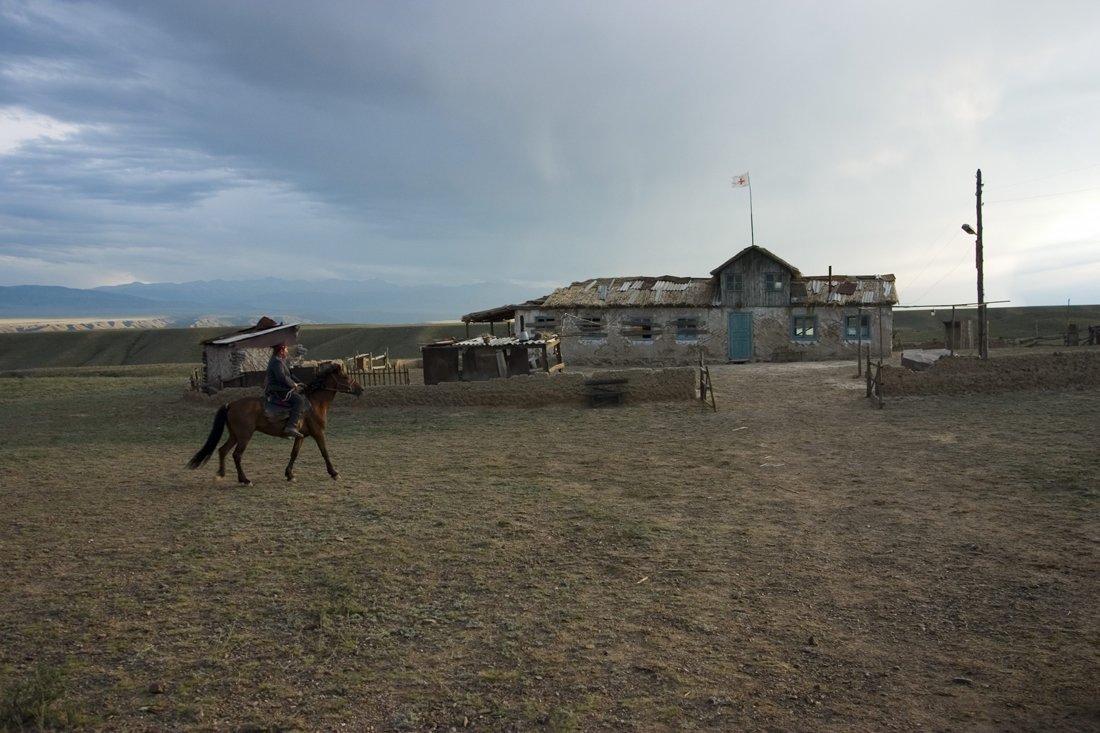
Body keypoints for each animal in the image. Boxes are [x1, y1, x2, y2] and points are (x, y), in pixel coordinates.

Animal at [187, 360, 363, 484]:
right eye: (346, 377)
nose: (361, 389)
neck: (314, 404)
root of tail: (231, 404)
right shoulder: (318, 434)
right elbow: (325, 452)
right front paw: (334, 473)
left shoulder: (301, 436)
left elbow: (294, 454)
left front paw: (290, 475)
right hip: (244, 436)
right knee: (237, 455)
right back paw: (245, 480)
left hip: (234, 435)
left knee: (222, 450)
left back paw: (221, 474)